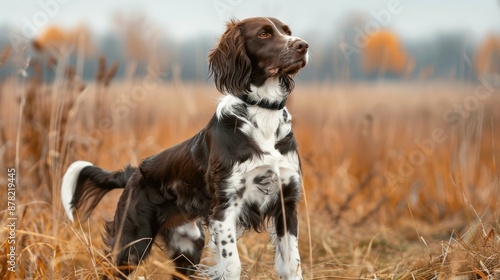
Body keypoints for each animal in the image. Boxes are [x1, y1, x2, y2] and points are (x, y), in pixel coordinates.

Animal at [60, 17, 306, 280]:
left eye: (288, 31)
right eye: (263, 34)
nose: (303, 45)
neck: (262, 115)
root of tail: (135, 173)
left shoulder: (286, 203)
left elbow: (293, 265)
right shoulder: (225, 208)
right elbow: (232, 265)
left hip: (189, 244)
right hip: (132, 243)